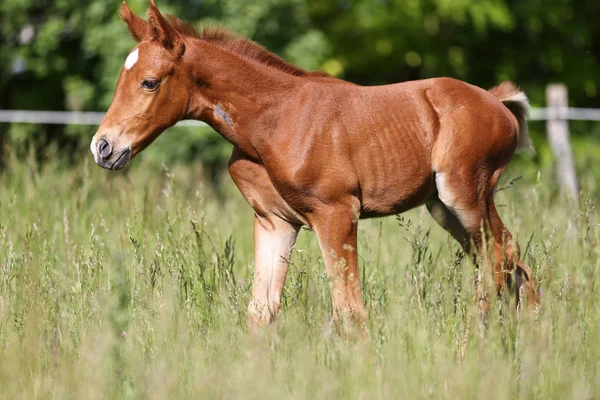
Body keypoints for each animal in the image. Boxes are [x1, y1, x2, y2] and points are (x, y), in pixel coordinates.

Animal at [92, 0, 540, 332]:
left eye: (150, 82)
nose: (103, 147)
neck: (272, 121)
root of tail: (497, 102)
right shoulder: (274, 221)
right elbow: (260, 313)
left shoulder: (337, 213)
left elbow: (349, 312)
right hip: (442, 207)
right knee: (509, 260)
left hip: (463, 192)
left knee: (500, 254)